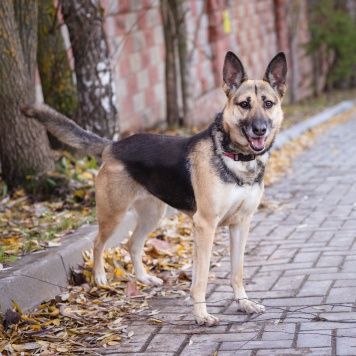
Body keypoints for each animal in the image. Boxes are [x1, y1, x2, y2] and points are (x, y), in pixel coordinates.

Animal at [21, 51, 286, 326]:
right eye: (244, 104)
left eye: (268, 104)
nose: (260, 129)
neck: (237, 157)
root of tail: (113, 146)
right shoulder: (205, 225)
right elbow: (201, 278)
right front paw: (201, 315)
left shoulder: (241, 224)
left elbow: (237, 271)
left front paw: (243, 303)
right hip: (113, 215)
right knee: (97, 242)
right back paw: (100, 277)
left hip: (152, 215)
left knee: (132, 244)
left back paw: (144, 278)